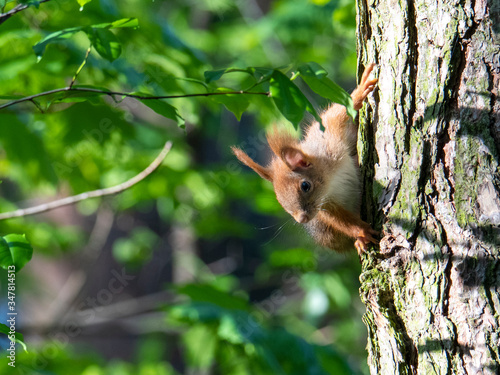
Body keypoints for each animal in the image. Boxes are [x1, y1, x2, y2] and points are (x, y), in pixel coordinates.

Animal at [232, 64, 376, 256]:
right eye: (278, 199)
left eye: (305, 186)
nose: (302, 219)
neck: (331, 177)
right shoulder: (326, 204)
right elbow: (338, 218)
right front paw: (362, 231)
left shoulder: (329, 137)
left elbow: (339, 112)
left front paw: (359, 92)